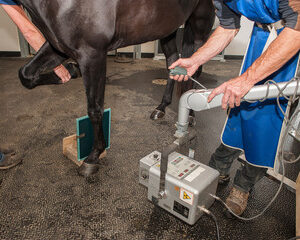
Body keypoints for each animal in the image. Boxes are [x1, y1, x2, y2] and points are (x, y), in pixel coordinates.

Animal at [15, 0, 213, 176]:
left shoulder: (92, 54)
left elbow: (95, 109)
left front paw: (93, 157)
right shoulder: (60, 46)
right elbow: (25, 75)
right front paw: (71, 70)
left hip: (200, 25)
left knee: (196, 68)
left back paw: (191, 113)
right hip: (167, 28)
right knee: (173, 62)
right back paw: (161, 107)